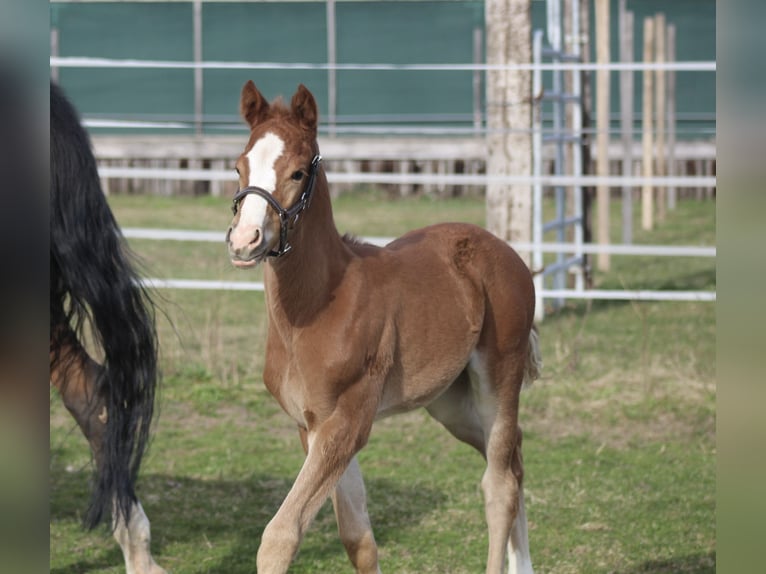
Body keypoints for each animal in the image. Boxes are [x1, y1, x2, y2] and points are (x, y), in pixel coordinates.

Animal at [226, 81, 541, 574]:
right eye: (240, 167)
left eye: (297, 172)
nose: (245, 241)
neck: (318, 305)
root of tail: (504, 251)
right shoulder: (313, 427)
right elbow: (358, 537)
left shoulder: (349, 419)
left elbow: (280, 535)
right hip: (450, 402)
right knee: (514, 456)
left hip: (499, 377)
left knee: (500, 485)